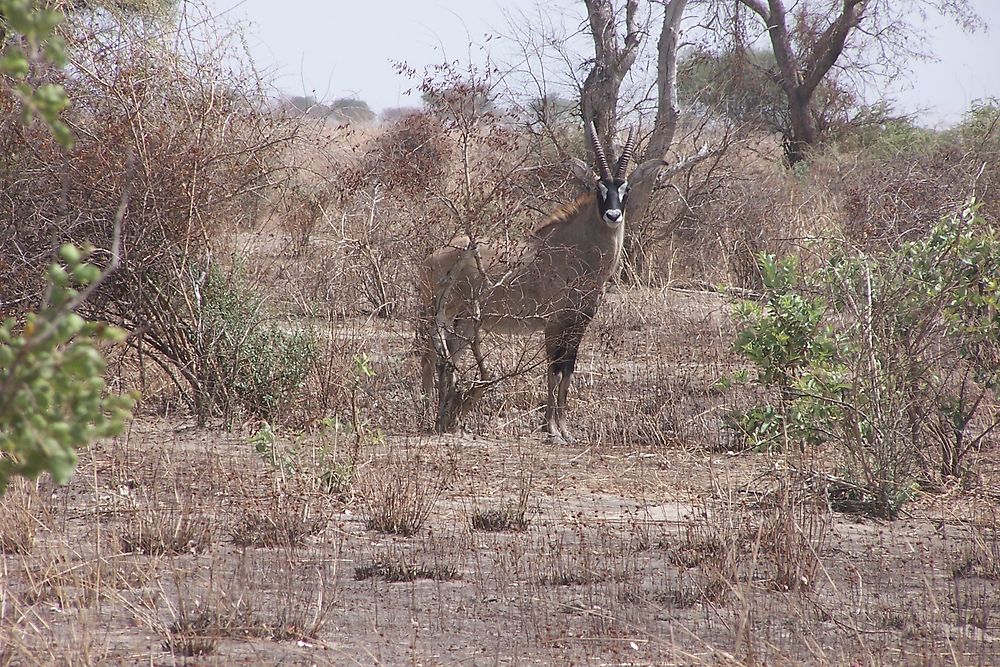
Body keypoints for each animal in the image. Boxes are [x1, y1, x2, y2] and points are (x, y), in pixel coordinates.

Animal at [418, 121, 636, 444]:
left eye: (625, 189)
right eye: (598, 189)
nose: (613, 215)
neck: (577, 250)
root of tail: (433, 257)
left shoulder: (579, 321)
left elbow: (568, 368)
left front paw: (566, 429)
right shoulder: (553, 322)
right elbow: (553, 369)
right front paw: (552, 429)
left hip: (464, 322)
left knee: (449, 357)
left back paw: (447, 419)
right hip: (440, 315)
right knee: (431, 357)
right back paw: (427, 416)